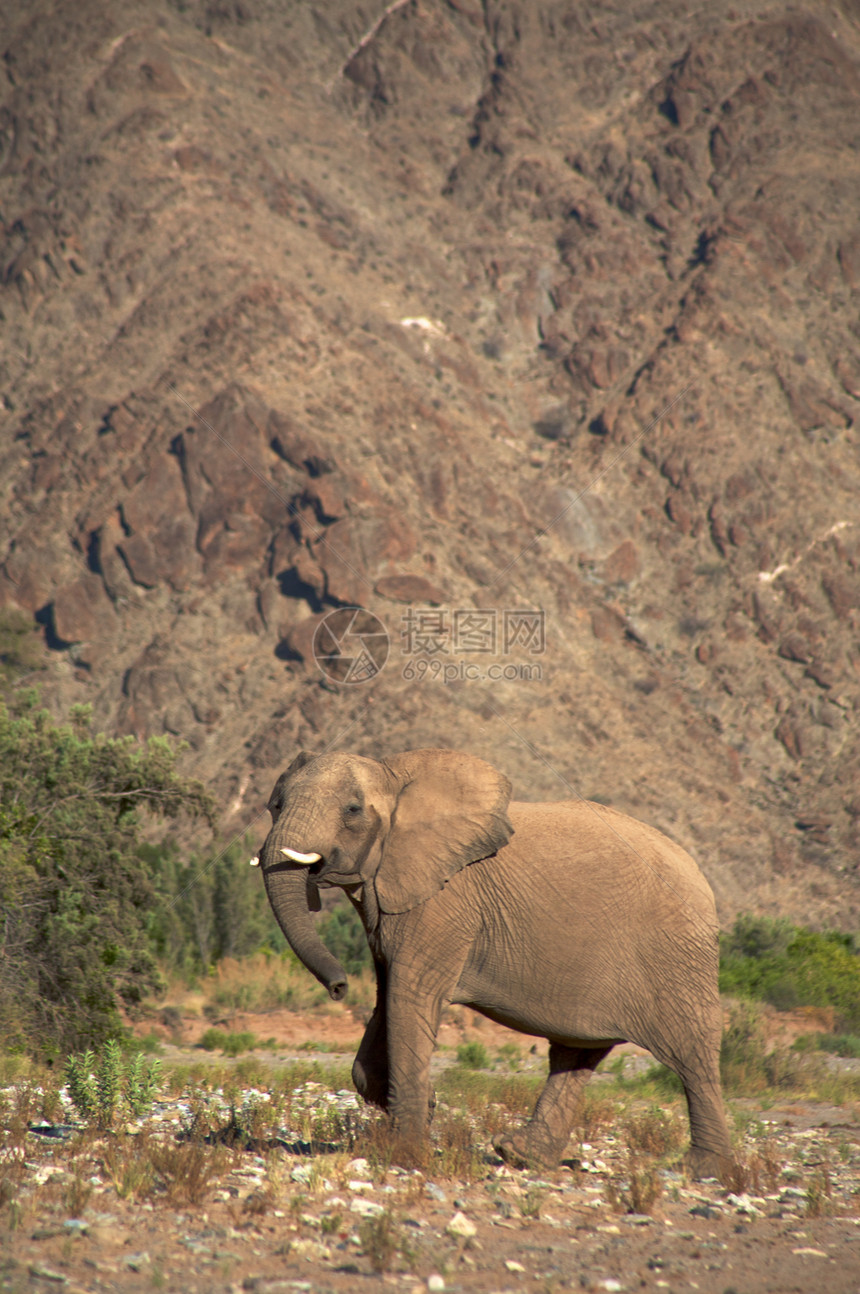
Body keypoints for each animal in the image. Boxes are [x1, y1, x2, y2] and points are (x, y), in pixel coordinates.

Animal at [253, 745, 729, 1180]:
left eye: (352, 810)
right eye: (275, 805)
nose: (339, 988)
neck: (395, 774)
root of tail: (703, 880)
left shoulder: (445, 901)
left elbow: (410, 997)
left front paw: (403, 1154)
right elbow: (387, 1002)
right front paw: (425, 1107)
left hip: (675, 955)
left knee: (691, 1054)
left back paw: (702, 1170)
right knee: (576, 1051)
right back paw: (521, 1155)